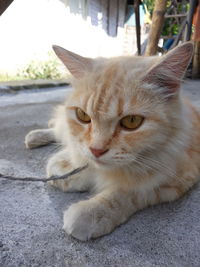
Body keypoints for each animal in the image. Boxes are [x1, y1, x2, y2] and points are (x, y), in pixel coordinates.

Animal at [25, 42, 200, 243]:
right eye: (82, 115)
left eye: (132, 121)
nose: (96, 150)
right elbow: (72, 163)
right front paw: (69, 170)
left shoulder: (174, 180)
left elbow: (126, 193)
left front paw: (92, 212)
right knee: (56, 127)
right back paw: (34, 138)